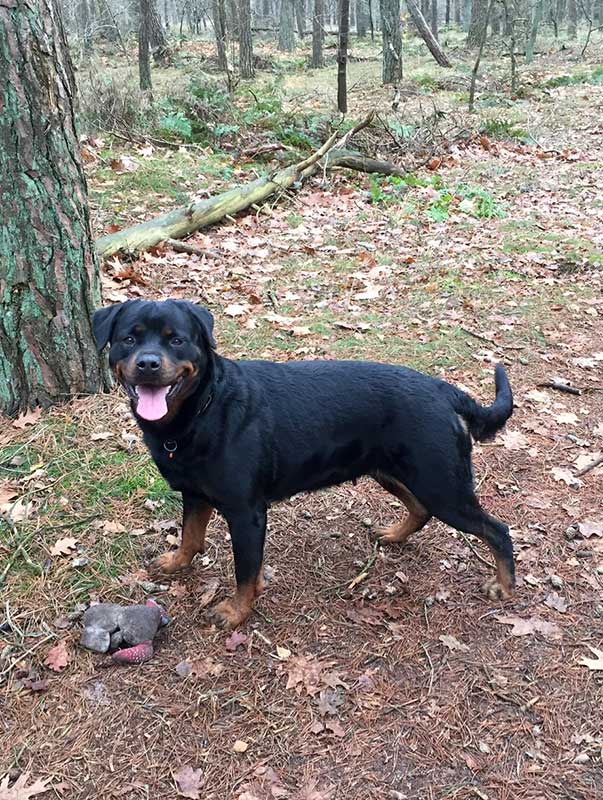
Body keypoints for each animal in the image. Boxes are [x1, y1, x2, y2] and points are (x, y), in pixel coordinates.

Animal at [93, 296, 516, 628]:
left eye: (177, 340)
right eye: (129, 338)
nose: (148, 363)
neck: (202, 410)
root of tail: (444, 391)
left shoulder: (246, 512)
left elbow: (246, 571)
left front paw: (235, 611)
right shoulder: (195, 495)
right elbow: (190, 536)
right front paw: (177, 562)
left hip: (441, 483)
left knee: (497, 529)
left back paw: (503, 585)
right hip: (394, 472)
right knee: (421, 508)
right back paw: (395, 534)